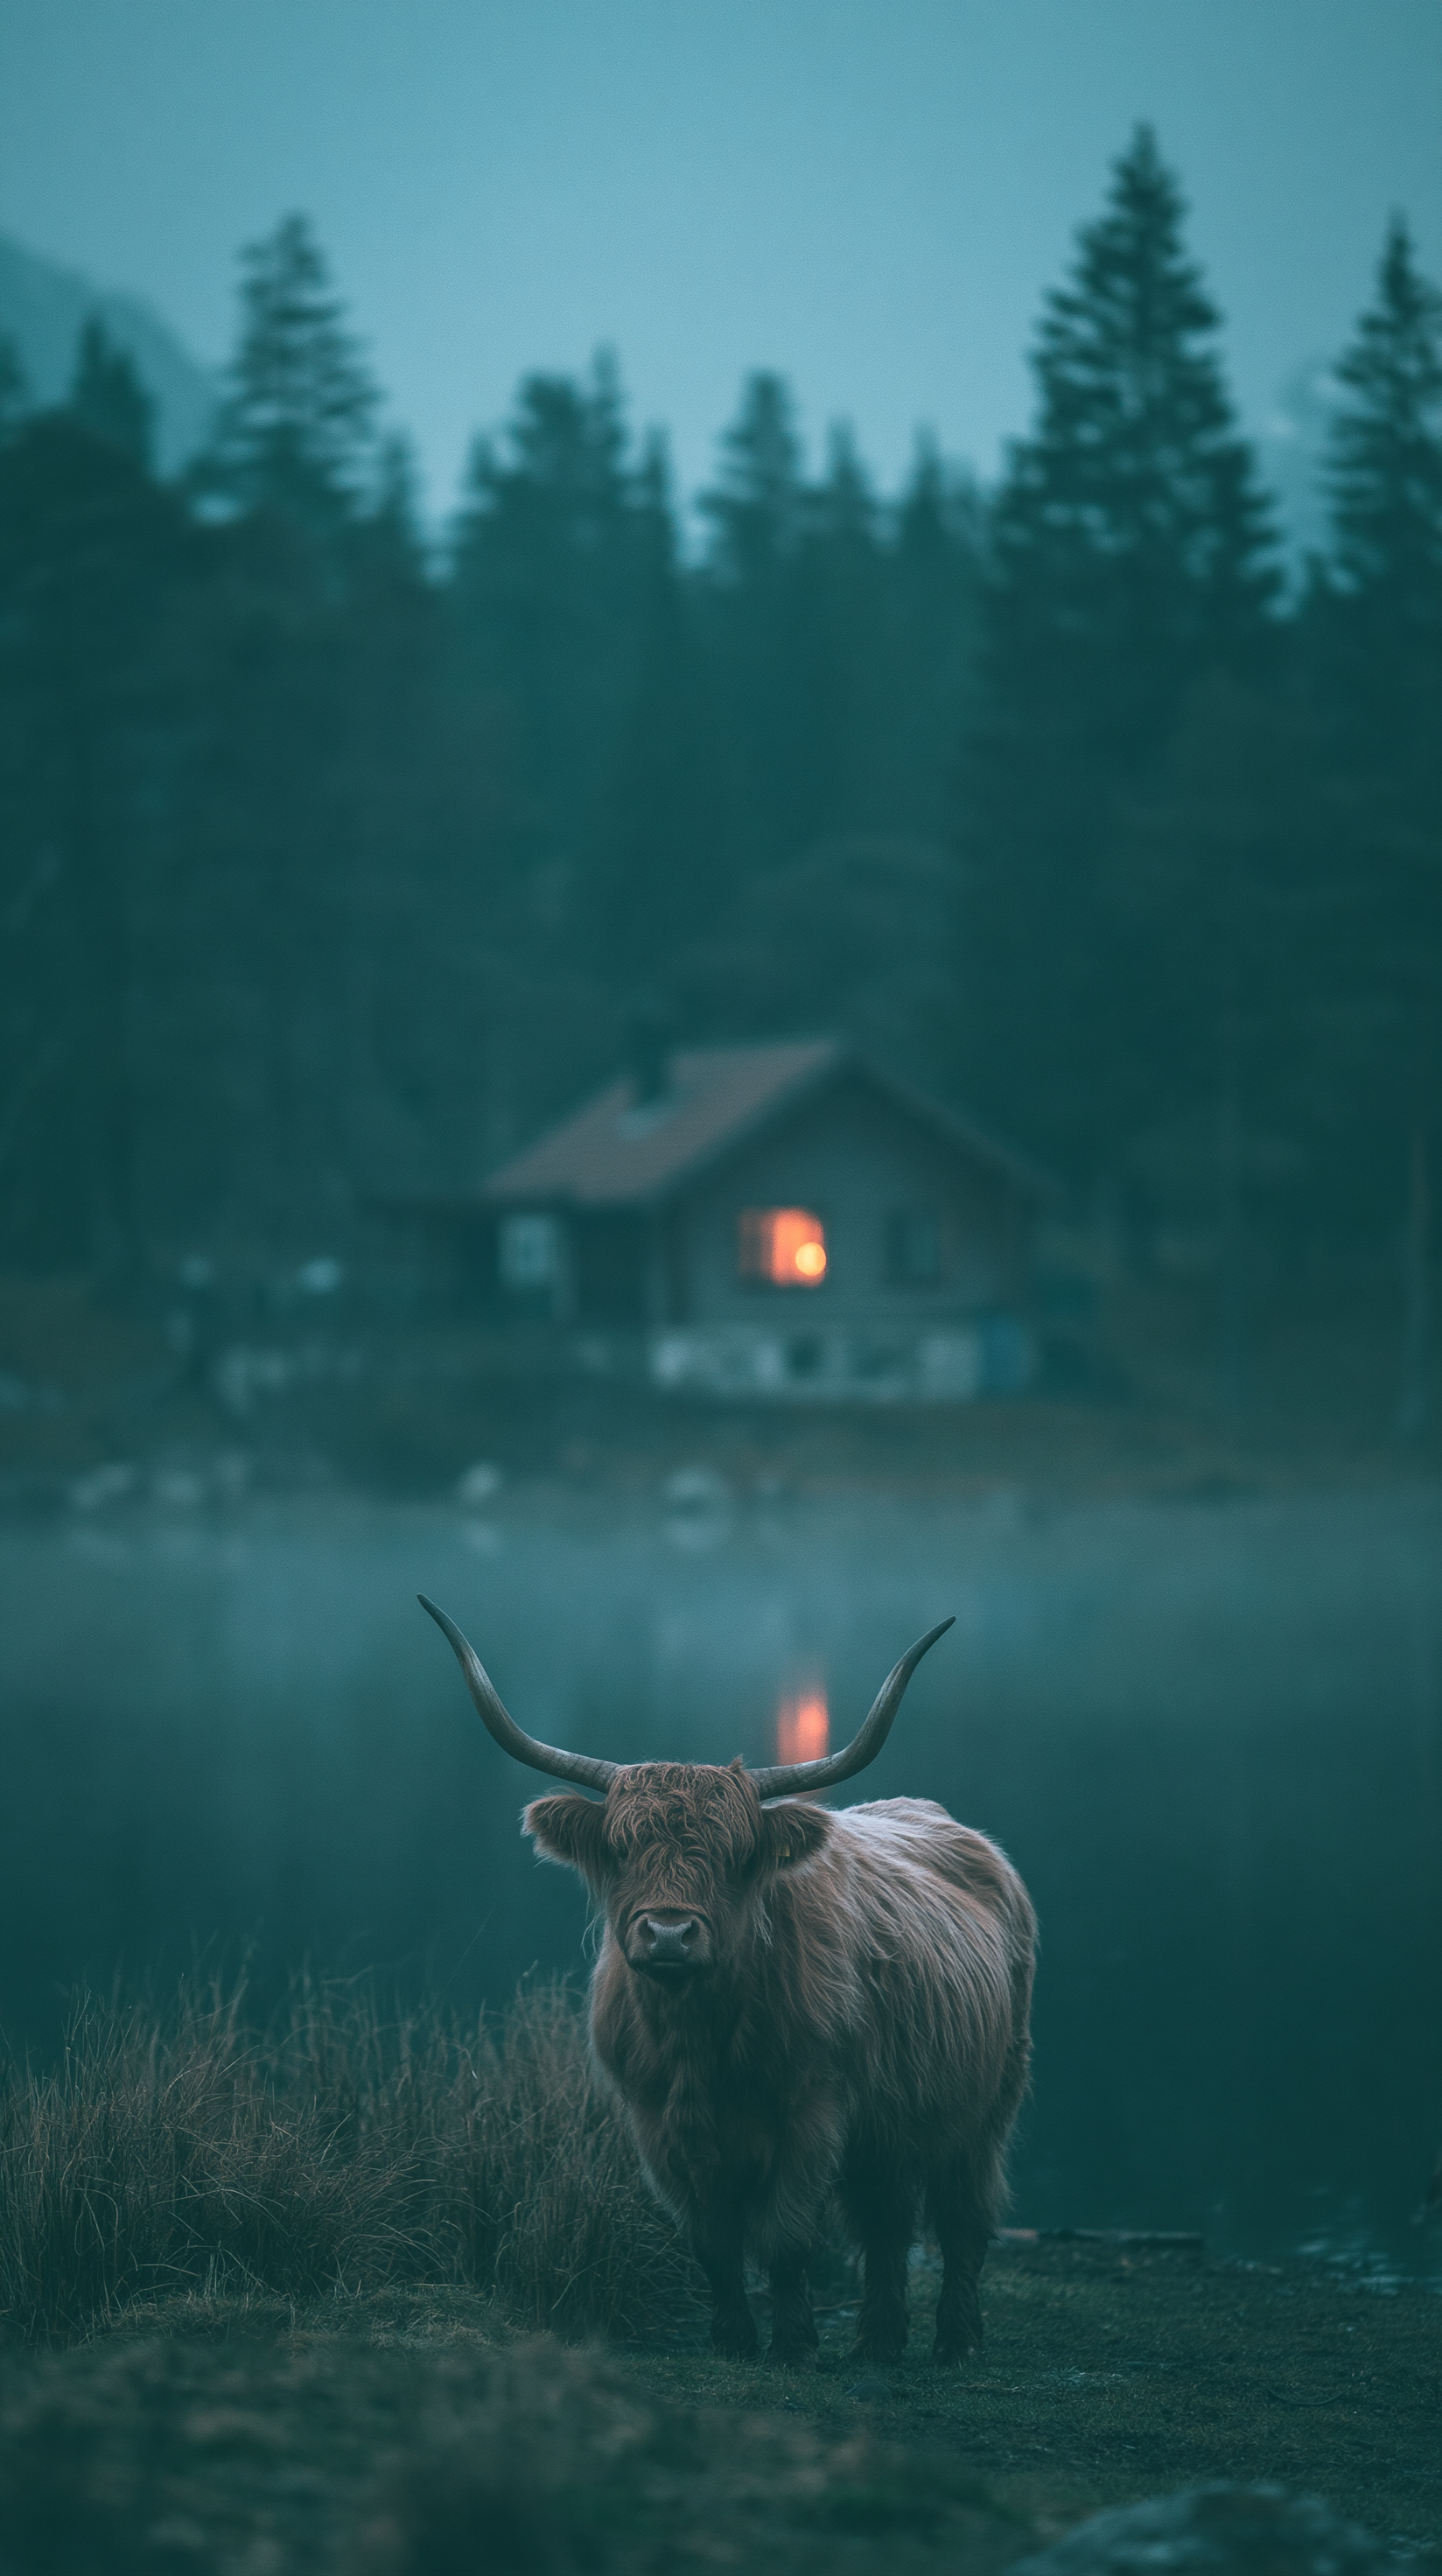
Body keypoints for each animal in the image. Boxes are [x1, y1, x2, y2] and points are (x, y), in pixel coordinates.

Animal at [421, 1595, 1035, 2365]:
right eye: (621, 1849)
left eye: (736, 1856)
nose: (669, 1933)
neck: (700, 2040)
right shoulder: (656, 2122)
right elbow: (711, 2240)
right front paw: (734, 2337)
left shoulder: (813, 2112)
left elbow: (787, 2237)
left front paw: (793, 2343)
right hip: (891, 2116)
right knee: (887, 2219)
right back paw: (878, 2342)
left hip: (988, 2102)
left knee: (962, 2217)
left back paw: (955, 2339)